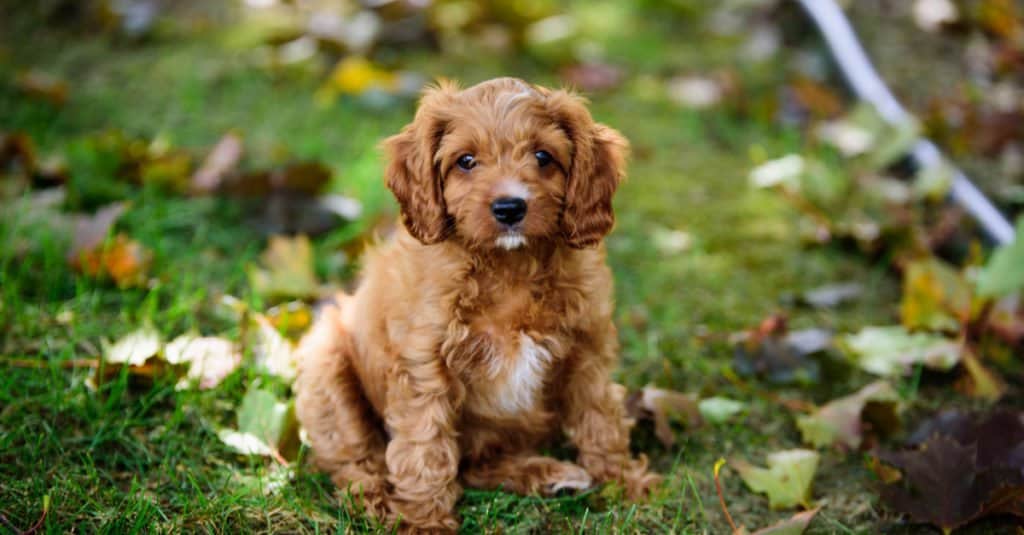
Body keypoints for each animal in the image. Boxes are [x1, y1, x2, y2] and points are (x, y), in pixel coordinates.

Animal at [294, 76, 663, 528]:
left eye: (543, 156)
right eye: (466, 161)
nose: (509, 208)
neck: (509, 266)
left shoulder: (588, 349)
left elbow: (600, 417)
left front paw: (622, 482)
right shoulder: (424, 363)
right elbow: (424, 445)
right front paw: (423, 522)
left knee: (475, 465)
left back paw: (547, 474)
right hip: (326, 364)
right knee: (352, 459)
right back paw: (376, 499)